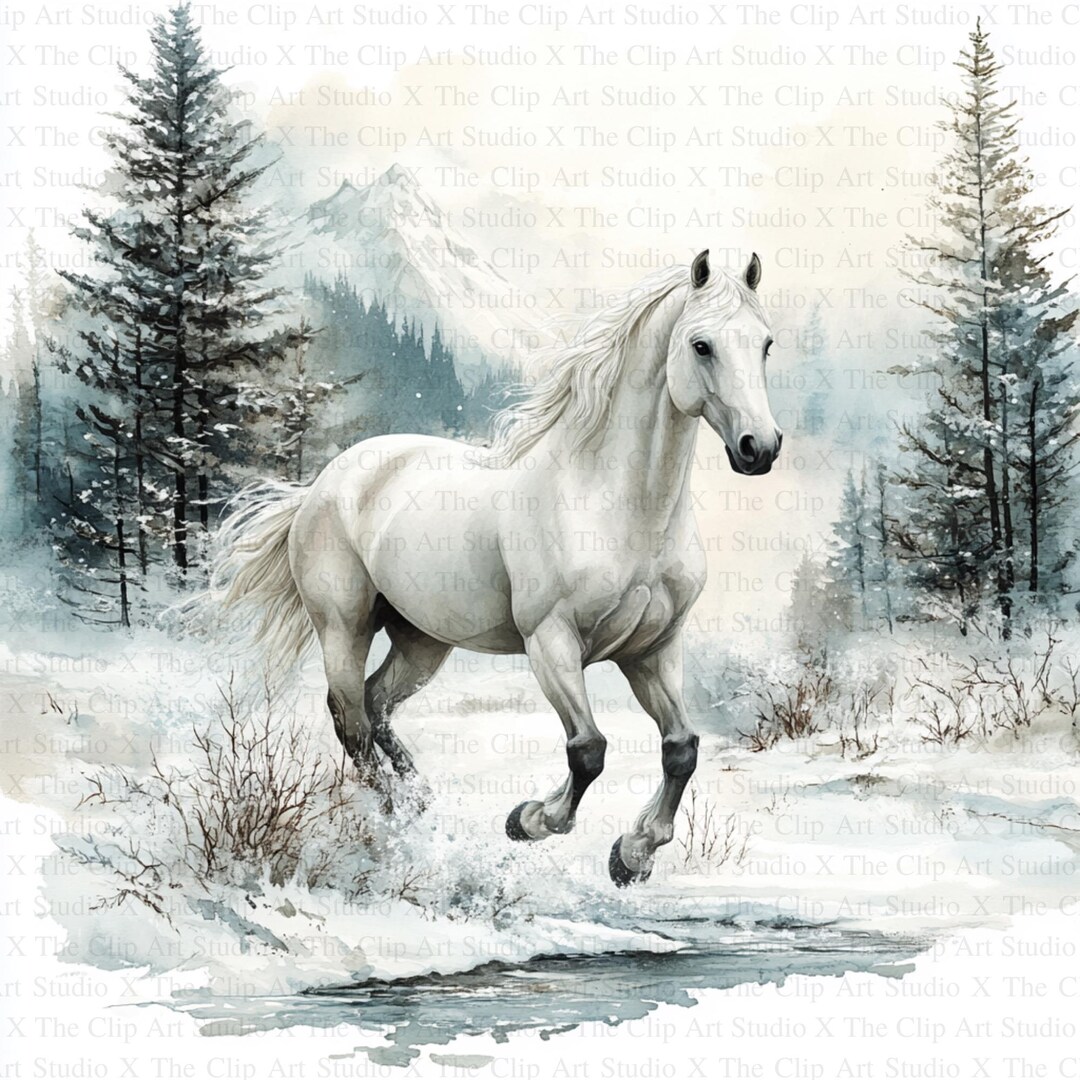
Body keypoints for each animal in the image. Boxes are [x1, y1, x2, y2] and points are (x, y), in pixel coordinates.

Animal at [213, 249, 782, 886]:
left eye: (765, 344)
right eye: (701, 345)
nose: (759, 447)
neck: (615, 504)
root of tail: (322, 485)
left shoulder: (653, 649)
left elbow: (681, 748)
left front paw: (634, 853)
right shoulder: (551, 640)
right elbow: (588, 749)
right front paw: (530, 820)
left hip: (423, 639)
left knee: (377, 703)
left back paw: (420, 803)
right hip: (343, 626)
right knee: (351, 719)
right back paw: (398, 823)